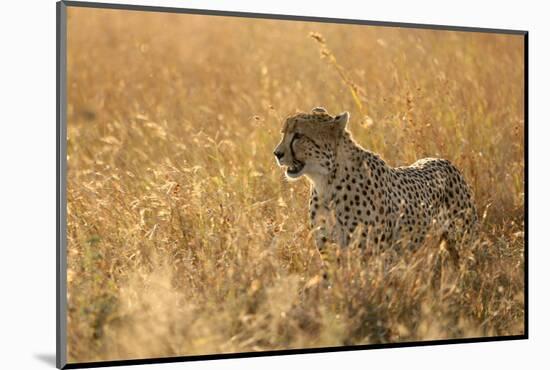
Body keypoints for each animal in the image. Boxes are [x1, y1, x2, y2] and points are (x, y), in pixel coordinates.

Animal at [274, 107, 478, 258]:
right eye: (283, 133)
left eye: (298, 136)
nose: (277, 153)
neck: (326, 181)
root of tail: (443, 160)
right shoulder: (330, 249)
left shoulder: (369, 252)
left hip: (465, 242)